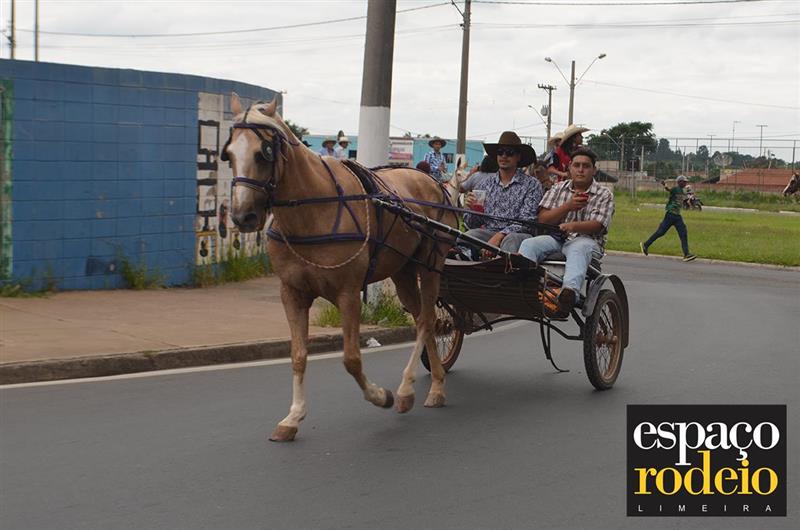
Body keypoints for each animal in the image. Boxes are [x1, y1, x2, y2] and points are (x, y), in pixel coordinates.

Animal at [223, 94, 459, 441]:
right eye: (228, 155)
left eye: (262, 153)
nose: (243, 216)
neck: (313, 209)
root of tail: (432, 181)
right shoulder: (291, 293)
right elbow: (298, 356)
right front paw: (293, 417)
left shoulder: (348, 294)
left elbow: (351, 359)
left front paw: (381, 396)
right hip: (403, 271)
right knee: (421, 320)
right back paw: (432, 382)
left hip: (431, 265)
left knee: (428, 320)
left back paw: (412, 390)